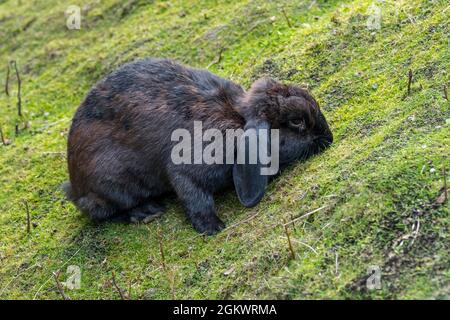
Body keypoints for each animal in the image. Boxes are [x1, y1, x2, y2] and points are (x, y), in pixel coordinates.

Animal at [65, 57, 332, 234]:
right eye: (297, 121)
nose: (328, 138)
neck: (238, 121)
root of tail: (75, 189)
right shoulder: (186, 170)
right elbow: (195, 198)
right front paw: (213, 227)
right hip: (112, 183)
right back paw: (147, 211)